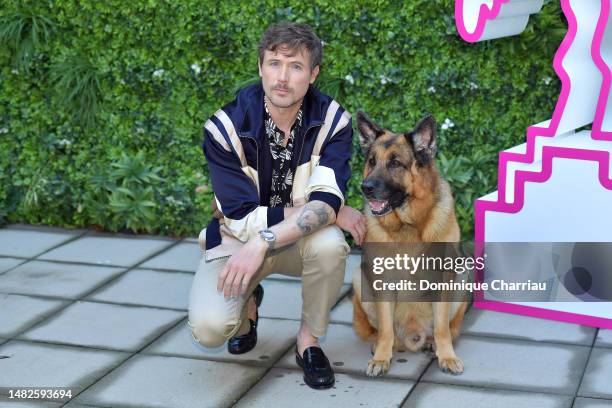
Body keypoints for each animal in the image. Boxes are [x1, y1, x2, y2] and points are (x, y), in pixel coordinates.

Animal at [352, 111, 466, 376]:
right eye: (372, 161)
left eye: (395, 163)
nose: (365, 188)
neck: (408, 226)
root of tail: (414, 337)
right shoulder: (382, 281)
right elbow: (385, 329)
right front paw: (382, 359)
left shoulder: (443, 279)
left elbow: (442, 328)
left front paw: (447, 356)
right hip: (359, 280)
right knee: (383, 332)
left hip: (462, 279)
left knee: (448, 328)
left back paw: (433, 344)